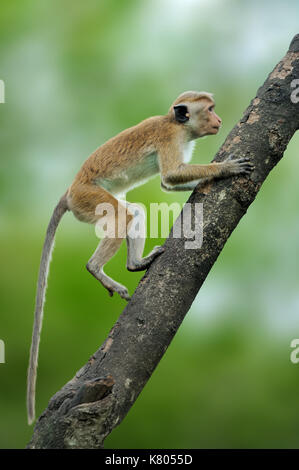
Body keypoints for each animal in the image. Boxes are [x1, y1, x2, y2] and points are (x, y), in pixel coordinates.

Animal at [27, 90, 254, 424]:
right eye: (210, 109)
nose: (219, 119)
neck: (177, 124)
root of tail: (69, 191)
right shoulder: (170, 138)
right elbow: (170, 174)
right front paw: (226, 169)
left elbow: (166, 182)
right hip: (88, 199)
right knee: (120, 216)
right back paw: (97, 268)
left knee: (132, 212)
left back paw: (136, 263)